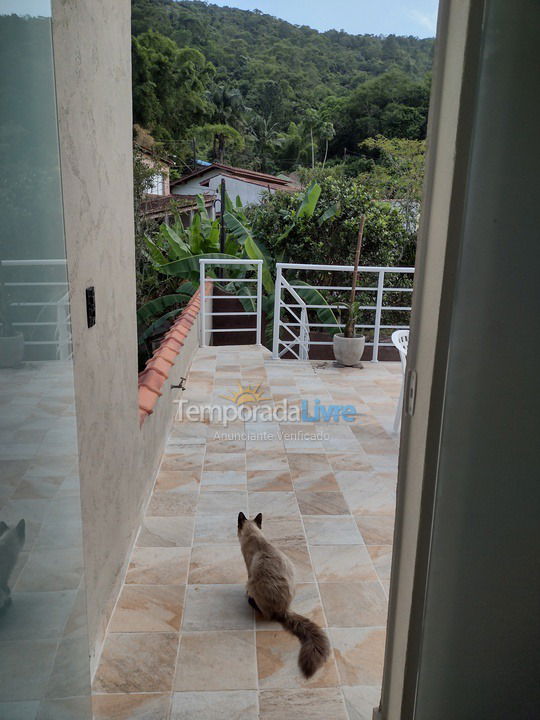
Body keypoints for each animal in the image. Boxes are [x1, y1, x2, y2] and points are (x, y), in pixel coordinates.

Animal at [239, 512, 332, 676]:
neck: (255, 536)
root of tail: (284, 609)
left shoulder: (248, 570)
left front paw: (247, 596)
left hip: (253, 584)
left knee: (266, 613)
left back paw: (251, 602)